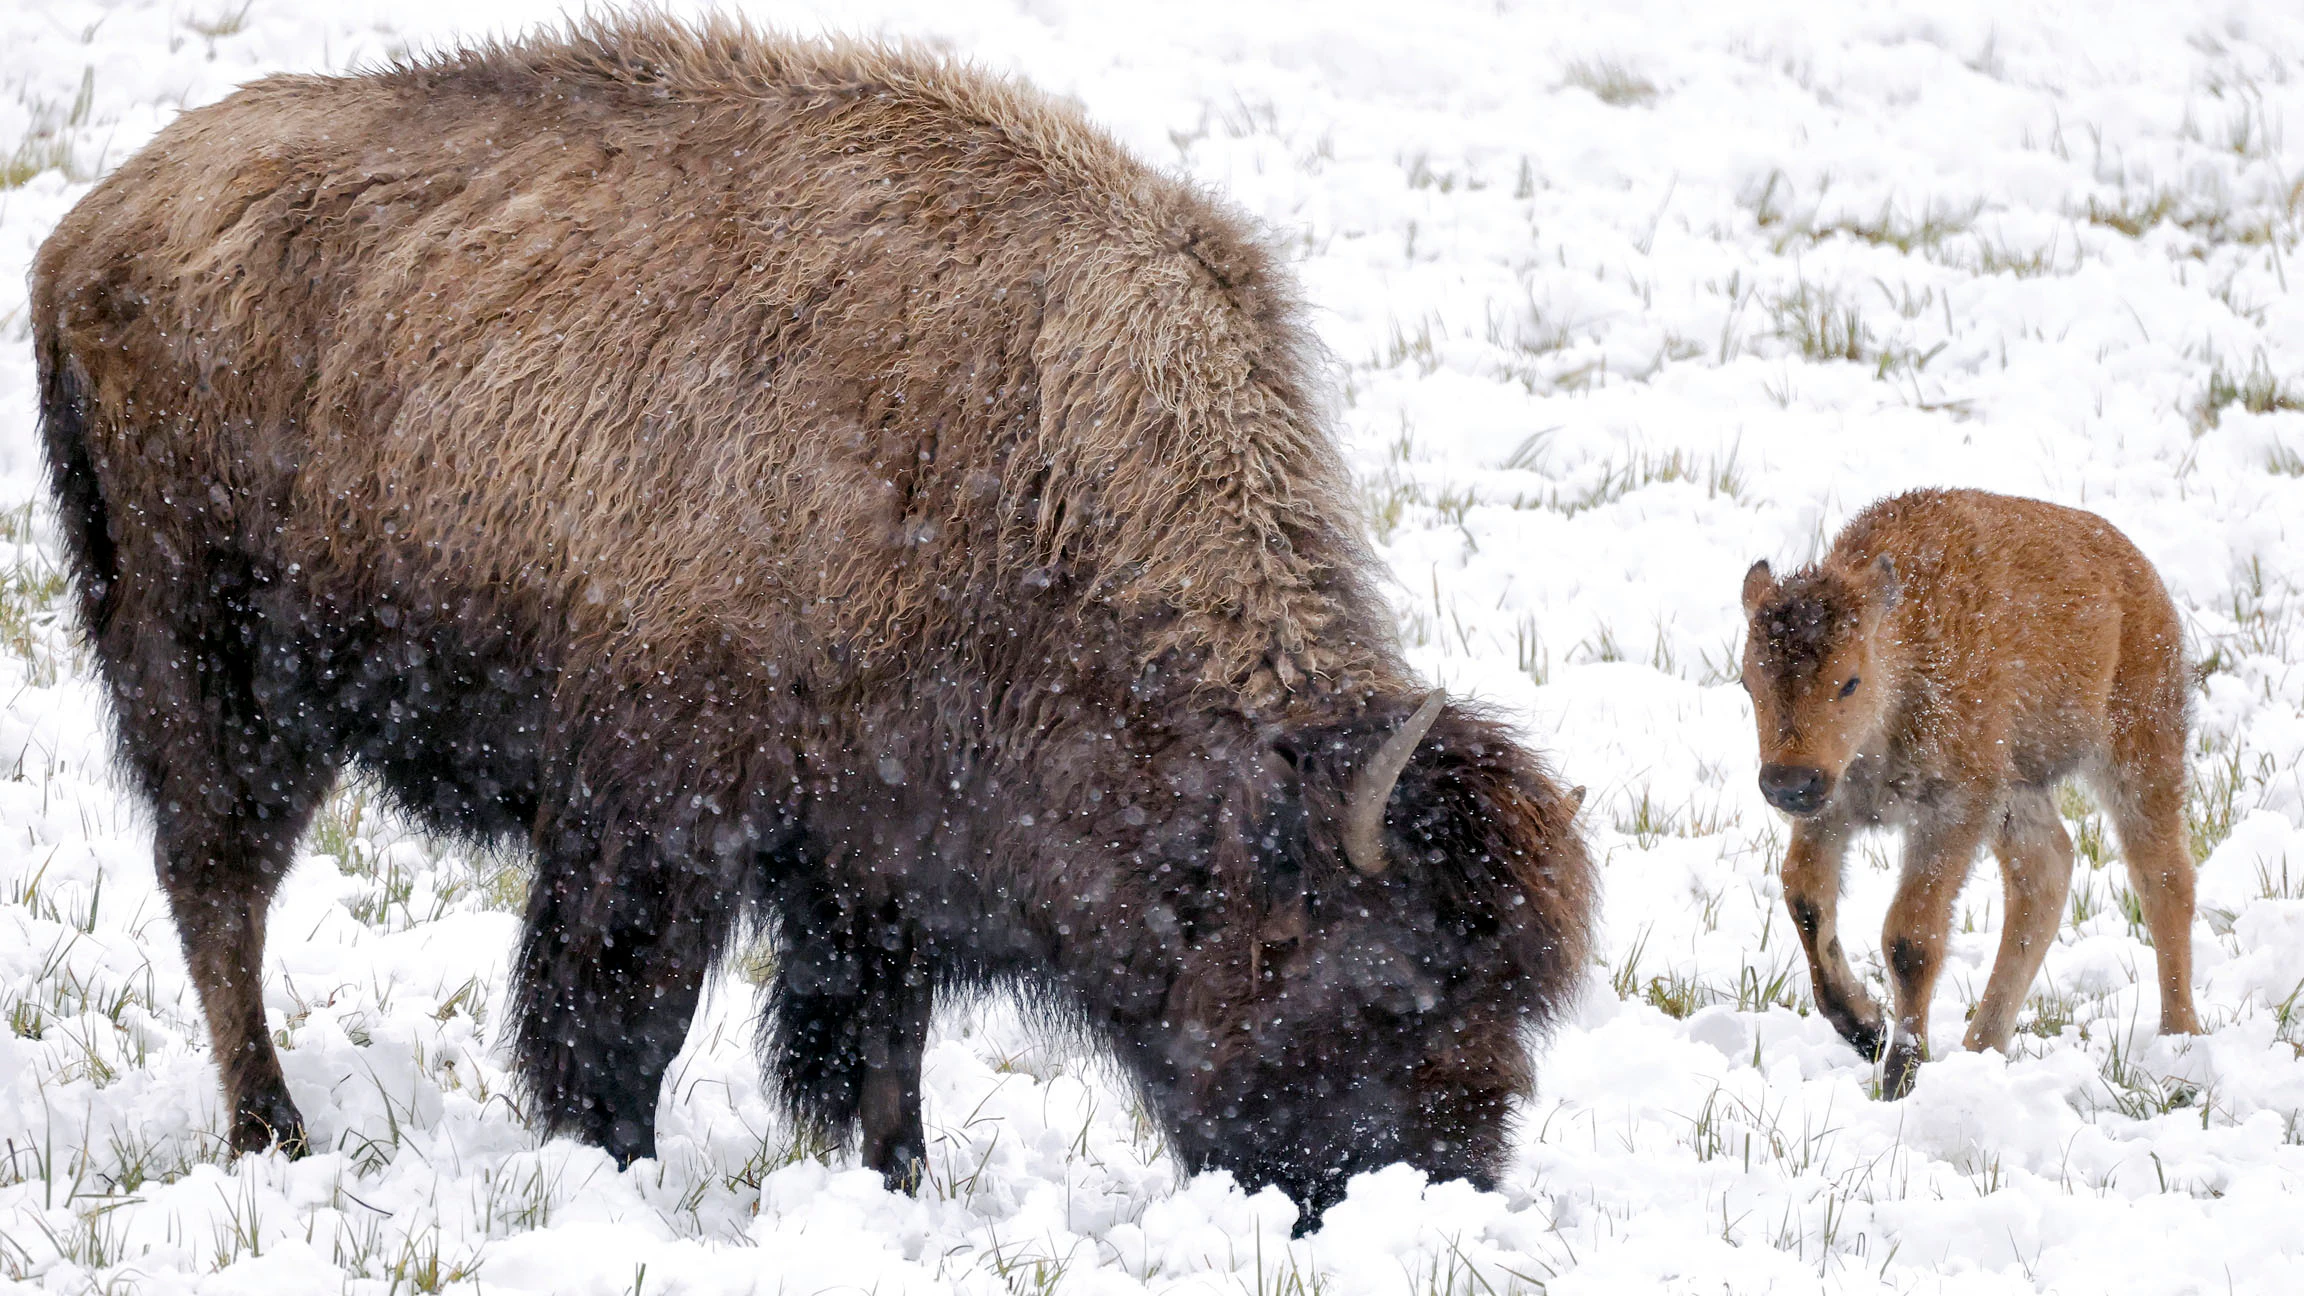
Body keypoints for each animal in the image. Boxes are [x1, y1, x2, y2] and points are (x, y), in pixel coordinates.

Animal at [30, 15, 1595, 1220]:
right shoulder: (658, 818)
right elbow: (627, 1017)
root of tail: (90, 232)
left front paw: (903, 1182)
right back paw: (274, 1128)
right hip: (218, 677)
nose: (1440, 1181)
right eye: (1391, 979)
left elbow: (883, 1036)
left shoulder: (885, 844)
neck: (1016, 459)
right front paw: (614, 1171)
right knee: (220, 892)